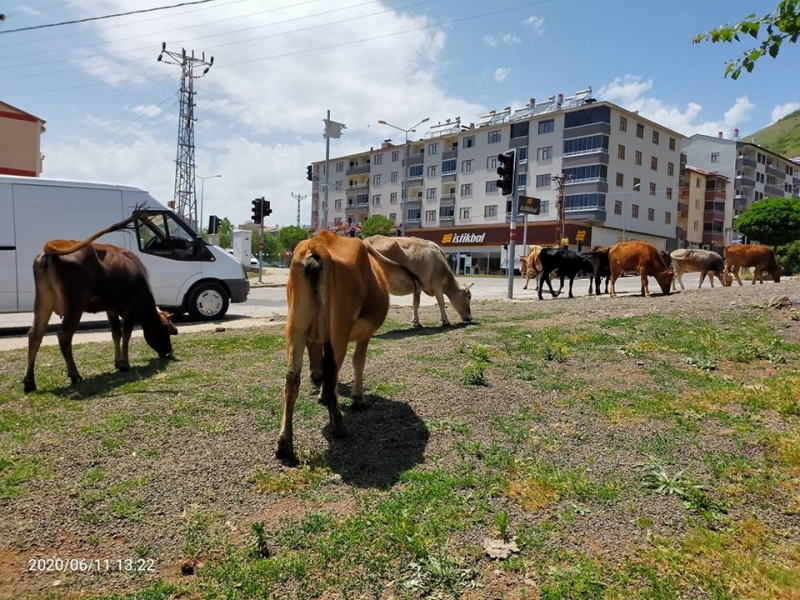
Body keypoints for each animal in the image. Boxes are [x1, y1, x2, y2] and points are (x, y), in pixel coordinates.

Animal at [23, 212, 177, 394]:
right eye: (166, 330)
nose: (168, 352)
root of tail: (50, 250)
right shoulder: (132, 306)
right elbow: (127, 333)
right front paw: (125, 364)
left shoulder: (111, 308)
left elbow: (116, 334)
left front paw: (117, 362)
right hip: (75, 304)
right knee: (64, 335)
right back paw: (75, 375)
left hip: (43, 302)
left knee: (35, 334)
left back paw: (29, 382)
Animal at [280, 232, 392, 458]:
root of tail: (316, 245)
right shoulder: (365, 334)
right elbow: (358, 361)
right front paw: (358, 398)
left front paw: (321, 395)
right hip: (338, 329)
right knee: (332, 371)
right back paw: (339, 425)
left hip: (296, 326)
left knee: (292, 378)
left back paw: (284, 444)